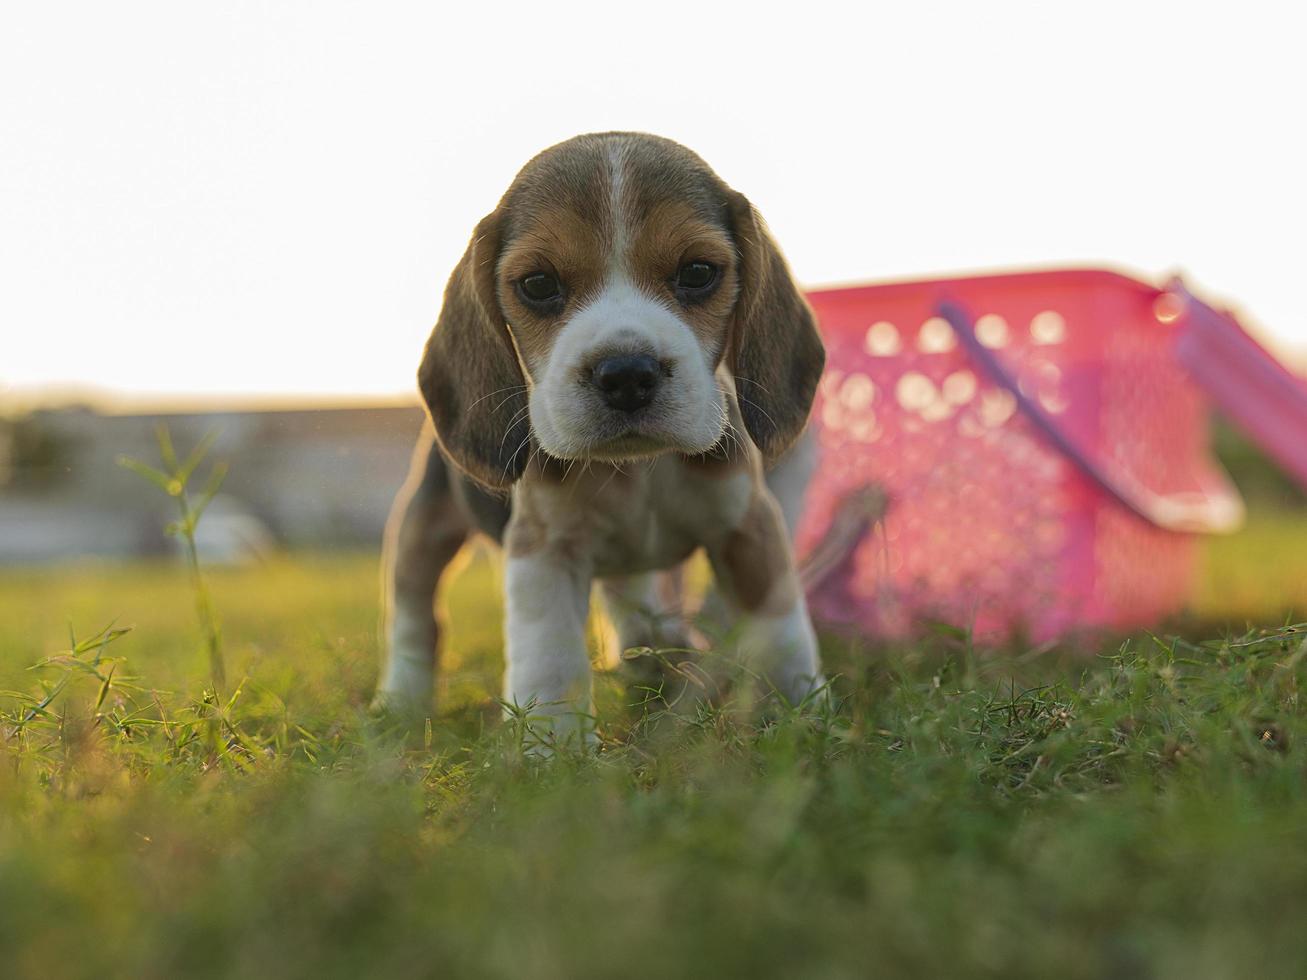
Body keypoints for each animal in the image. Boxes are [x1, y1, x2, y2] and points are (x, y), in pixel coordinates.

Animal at [379, 132, 820, 742]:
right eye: (538, 284)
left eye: (698, 271)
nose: (627, 374)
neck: (640, 470)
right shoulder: (543, 550)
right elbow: (551, 659)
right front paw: (553, 749)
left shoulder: (748, 526)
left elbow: (781, 625)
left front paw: (801, 712)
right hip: (424, 525)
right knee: (415, 615)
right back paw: (401, 698)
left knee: (629, 598)